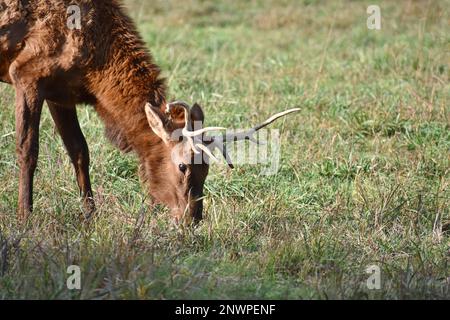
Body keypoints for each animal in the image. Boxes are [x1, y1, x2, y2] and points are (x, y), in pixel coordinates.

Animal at [0, 0, 298, 224]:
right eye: (183, 165)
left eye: (207, 167)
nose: (192, 219)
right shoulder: (26, 74)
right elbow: (27, 149)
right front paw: (25, 216)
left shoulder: (61, 93)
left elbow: (79, 151)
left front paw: (90, 214)